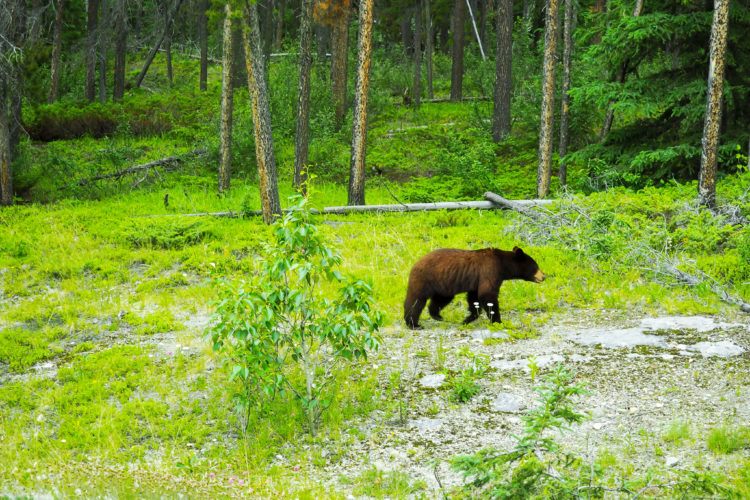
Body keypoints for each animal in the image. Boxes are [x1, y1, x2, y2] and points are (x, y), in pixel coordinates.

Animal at [406, 245, 548, 328]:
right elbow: (487, 294)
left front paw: (467, 319)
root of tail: (415, 263)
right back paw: (413, 323)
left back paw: (437, 315)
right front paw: (497, 321)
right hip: (424, 279)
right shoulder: (490, 270)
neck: (503, 264)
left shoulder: (476, 282)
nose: (544, 276)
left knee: (440, 299)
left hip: (443, 285)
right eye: (535, 266)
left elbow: (474, 299)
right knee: (416, 301)